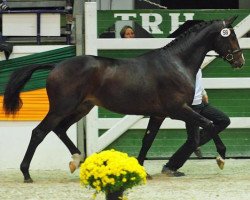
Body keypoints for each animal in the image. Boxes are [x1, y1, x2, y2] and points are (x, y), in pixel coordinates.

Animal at [2, 16, 243, 182]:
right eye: (230, 36)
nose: (240, 61)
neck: (176, 63)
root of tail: (56, 66)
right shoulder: (178, 109)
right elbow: (208, 123)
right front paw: (221, 157)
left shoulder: (159, 114)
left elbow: (147, 141)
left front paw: (142, 170)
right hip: (62, 107)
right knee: (39, 132)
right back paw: (27, 174)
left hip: (82, 108)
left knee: (60, 130)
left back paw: (78, 160)